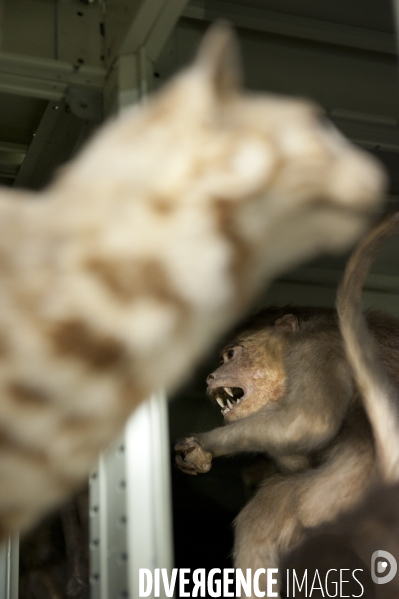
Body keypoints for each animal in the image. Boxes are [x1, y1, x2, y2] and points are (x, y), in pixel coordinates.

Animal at [177, 216, 399, 596]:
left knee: (265, 514)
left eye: (231, 355)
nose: (210, 376)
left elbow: (309, 421)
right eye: (220, 359)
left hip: (336, 496)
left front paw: (205, 444)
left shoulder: (316, 347)